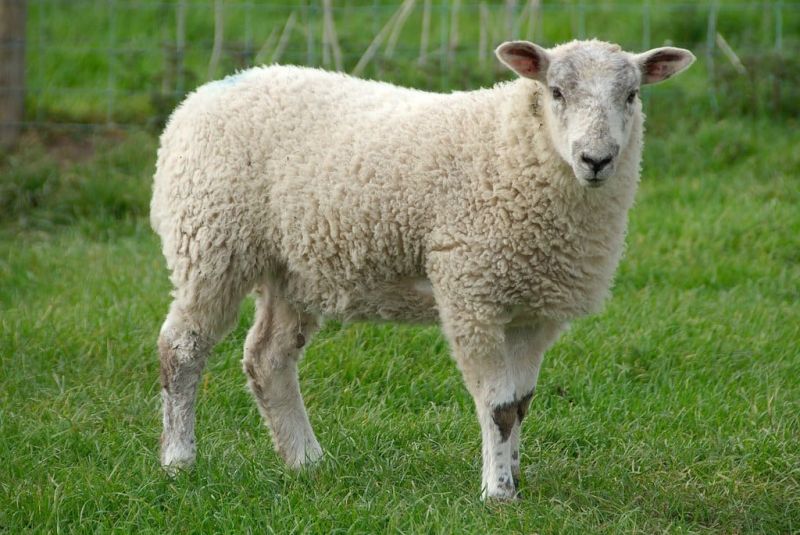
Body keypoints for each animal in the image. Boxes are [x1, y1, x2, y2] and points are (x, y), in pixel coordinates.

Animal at [151, 39, 694, 500]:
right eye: (556, 91)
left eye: (631, 95)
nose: (596, 159)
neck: (515, 148)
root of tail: (199, 97)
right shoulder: (472, 293)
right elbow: (498, 407)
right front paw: (498, 493)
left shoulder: (535, 308)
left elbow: (521, 402)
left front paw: (516, 478)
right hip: (211, 240)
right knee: (182, 348)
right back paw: (179, 461)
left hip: (294, 268)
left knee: (268, 358)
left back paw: (306, 460)